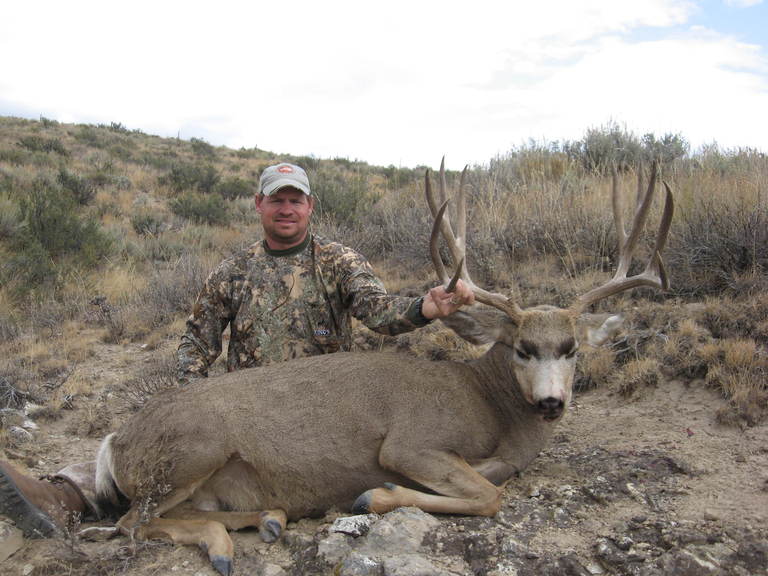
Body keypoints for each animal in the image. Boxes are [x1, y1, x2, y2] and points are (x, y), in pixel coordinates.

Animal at [94, 159, 672, 576]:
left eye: (571, 348)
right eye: (522, 348)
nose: (552, 402)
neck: (486, 403)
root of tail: (115, 440)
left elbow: (493, 478)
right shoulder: (410, 442)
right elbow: (488, 495)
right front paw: (376, 494)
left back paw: (268, 519)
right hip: (194, 448)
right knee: (132, 522)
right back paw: (227, 543)